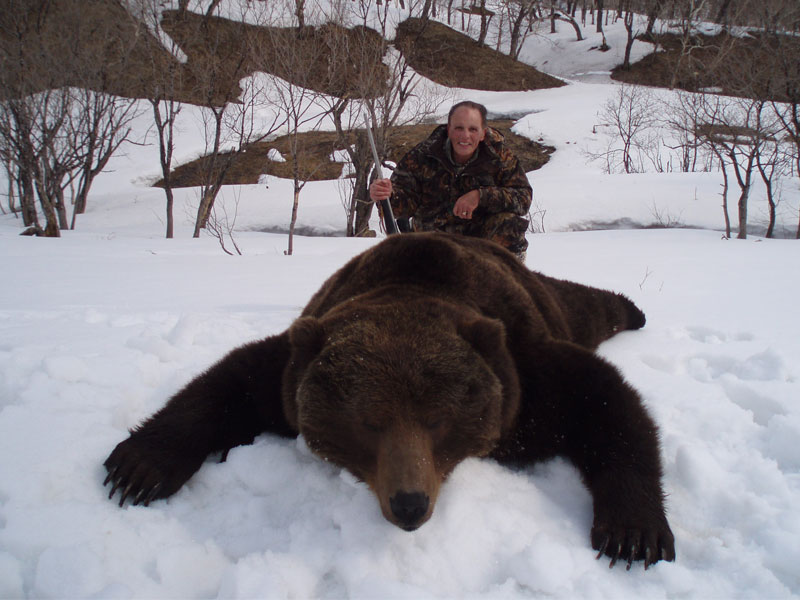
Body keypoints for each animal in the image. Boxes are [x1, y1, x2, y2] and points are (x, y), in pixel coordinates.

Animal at [104, 232, 675, 570]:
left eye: (439, 420)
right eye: (368, 423)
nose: (409, 504)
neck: (417, 280)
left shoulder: (526, 375)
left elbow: (607, 400)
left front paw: (632, 533)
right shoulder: (292, 368)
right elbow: (228, 383)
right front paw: (139, 467)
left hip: (550, 305)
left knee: (589, 305)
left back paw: (633, 308)